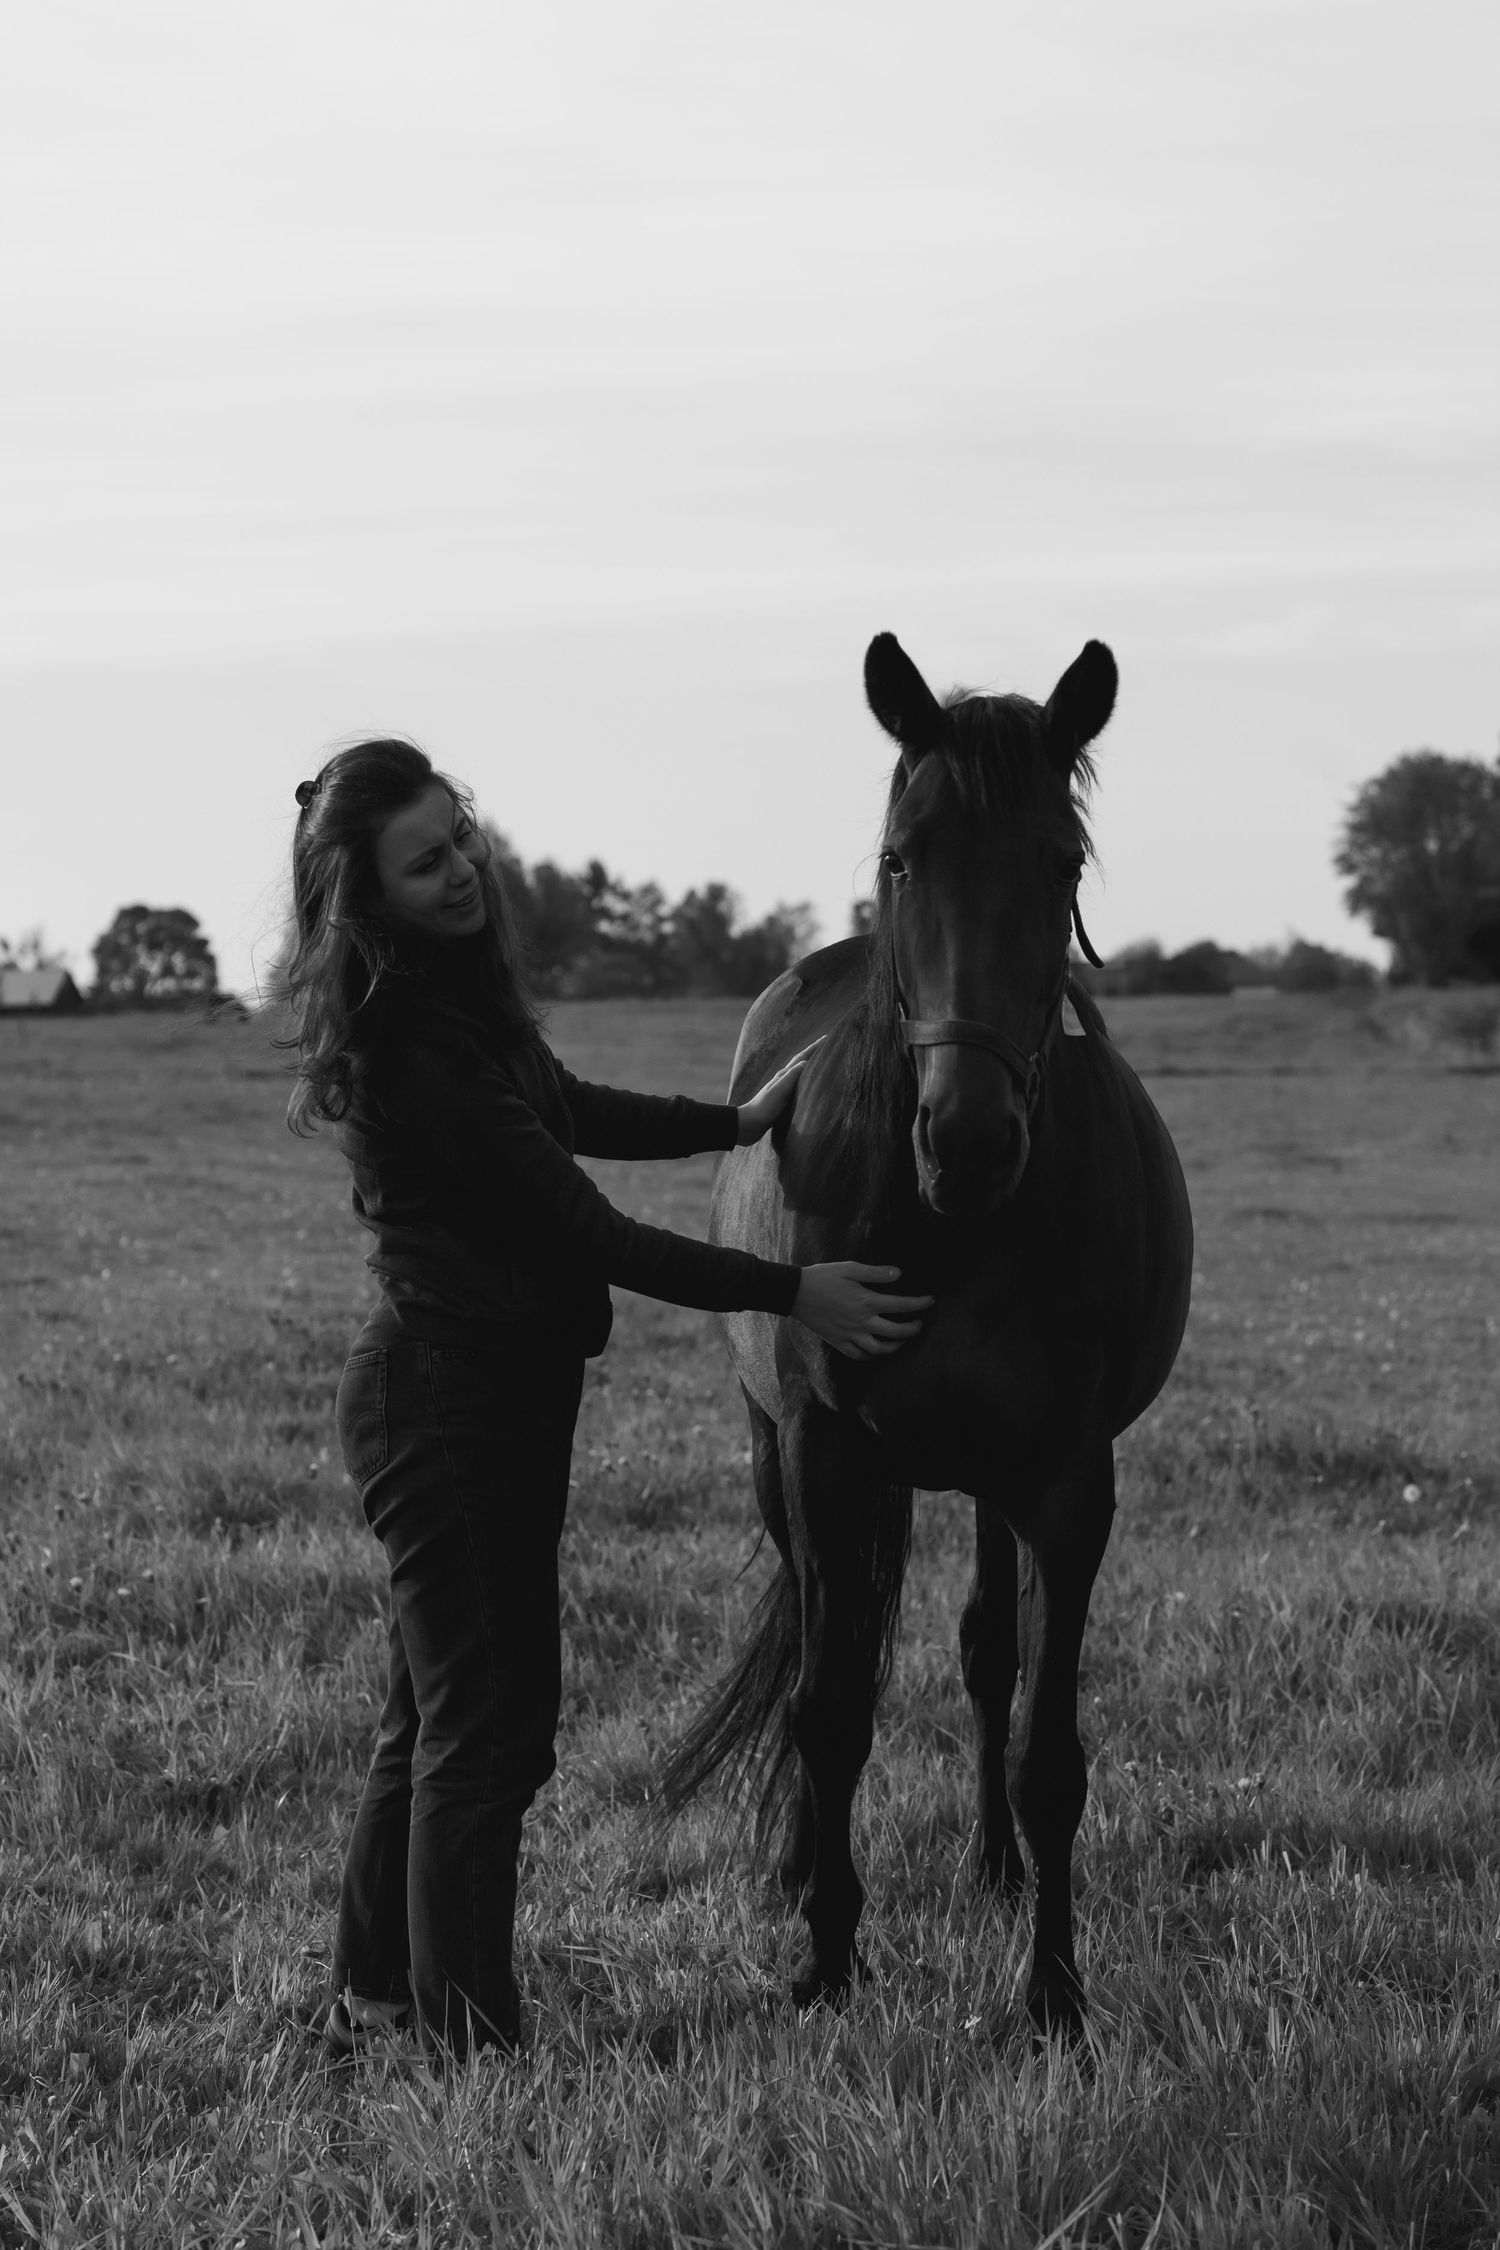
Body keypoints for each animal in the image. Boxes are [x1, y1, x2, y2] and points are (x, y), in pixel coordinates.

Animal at [658, 632, 1194, 2039]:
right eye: (904, 856)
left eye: (1062, 863)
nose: (968, 1139)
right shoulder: (826, 1451)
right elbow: (829, 1710)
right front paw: (828, 1958)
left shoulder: (1068, 1478)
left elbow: (1046, 1744)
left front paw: (1054, 1994)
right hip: (778, 1458)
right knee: (818, 1645)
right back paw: (806, 1863)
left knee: (985, 1653)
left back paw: (996, 1868)